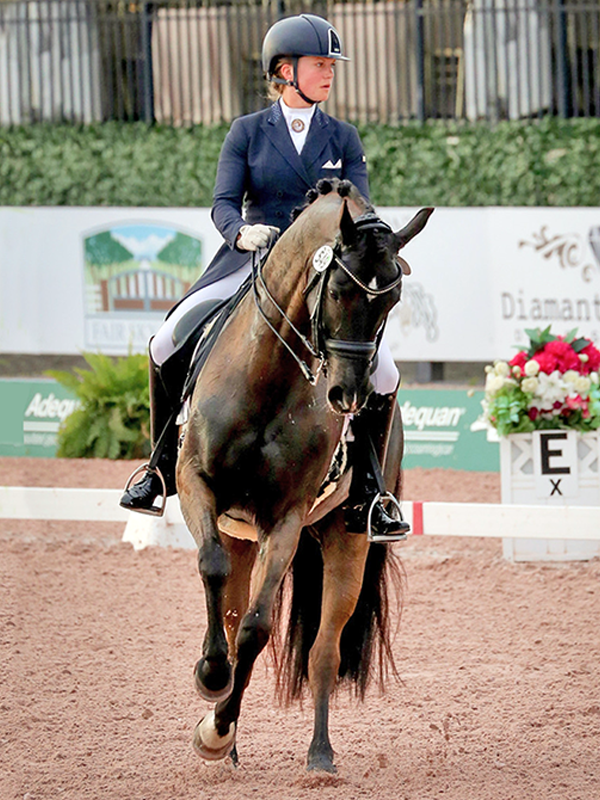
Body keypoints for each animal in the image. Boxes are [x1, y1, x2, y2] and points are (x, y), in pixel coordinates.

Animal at [176, 179, 433, 773]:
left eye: (392, 300)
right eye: (337, 289)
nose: (347, 395)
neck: (269, 375)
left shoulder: (287, 519)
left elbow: (257, 628)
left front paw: (215, 728)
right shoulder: (193, 482)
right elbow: (213, 572)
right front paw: (212, 683)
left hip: (345, 538)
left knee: (322, 652)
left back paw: (319, 755)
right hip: (239, 533)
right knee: (227, 602)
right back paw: (232, 744)